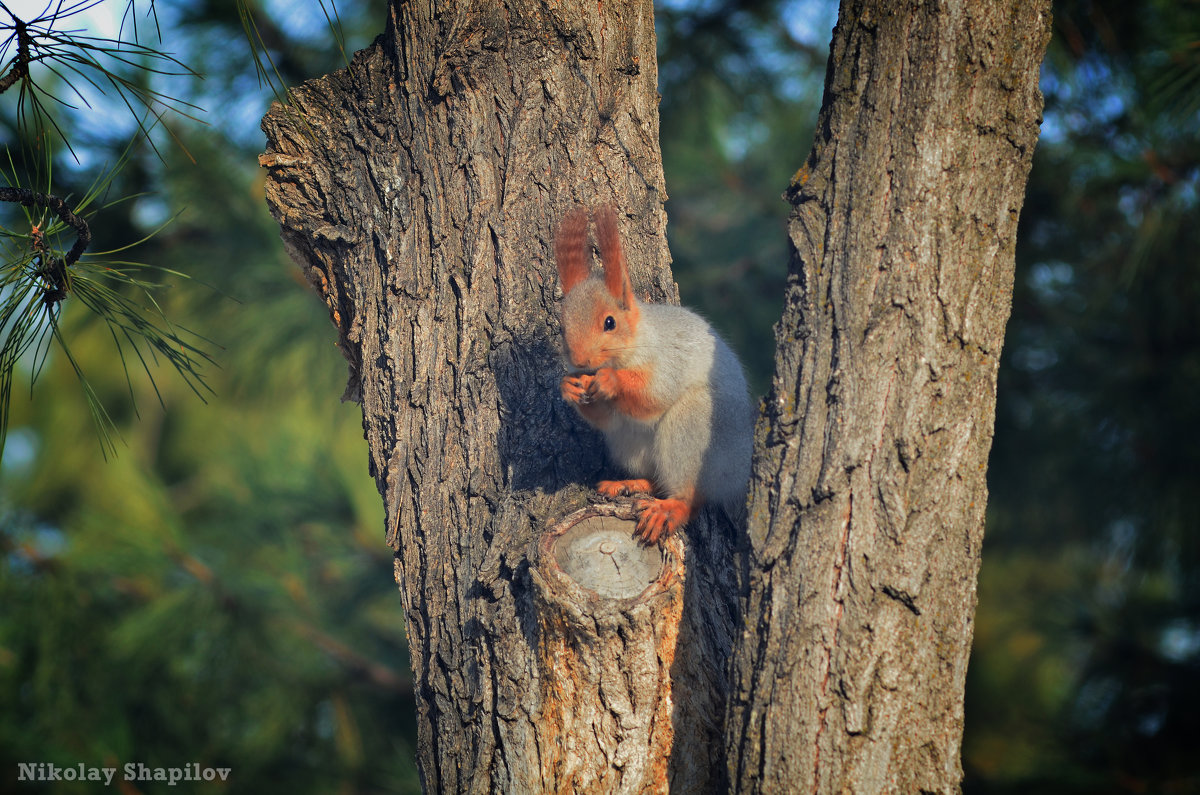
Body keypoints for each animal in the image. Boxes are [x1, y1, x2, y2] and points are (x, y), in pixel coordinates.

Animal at [552, 205, 748, 545]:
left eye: (610, 322)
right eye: (562, 328)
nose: (579, 361)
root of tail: (740, 475)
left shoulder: (669, 360)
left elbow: (653, 396)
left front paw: (610, 381)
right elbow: (608, 419)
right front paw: (570, 387)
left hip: (698, 430)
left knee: (691, 496)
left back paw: (670, 509)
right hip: (627, 444)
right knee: (653, 474)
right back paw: (630, 484)